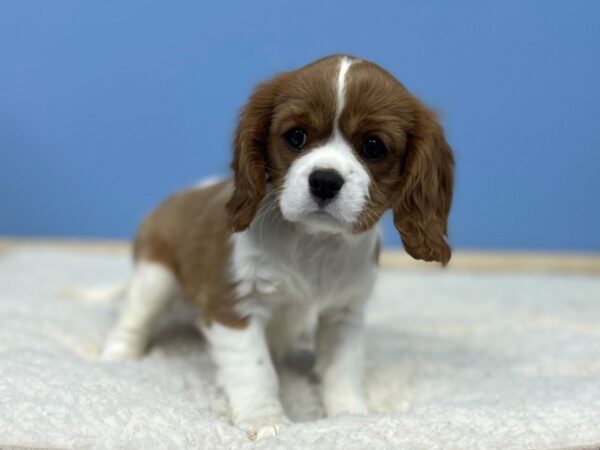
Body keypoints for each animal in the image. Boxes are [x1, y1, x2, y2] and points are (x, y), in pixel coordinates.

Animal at [101, 55, 452, 440]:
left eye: (374, 146)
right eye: (296, 136)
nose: (324, 181)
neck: (314, 240)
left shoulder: (344, 313)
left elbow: (342, 369)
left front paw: (350, 415)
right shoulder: (235, 304)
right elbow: (255, 371)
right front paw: (265, 420)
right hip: (155, 277)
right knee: (133, 318)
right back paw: (118, 359)